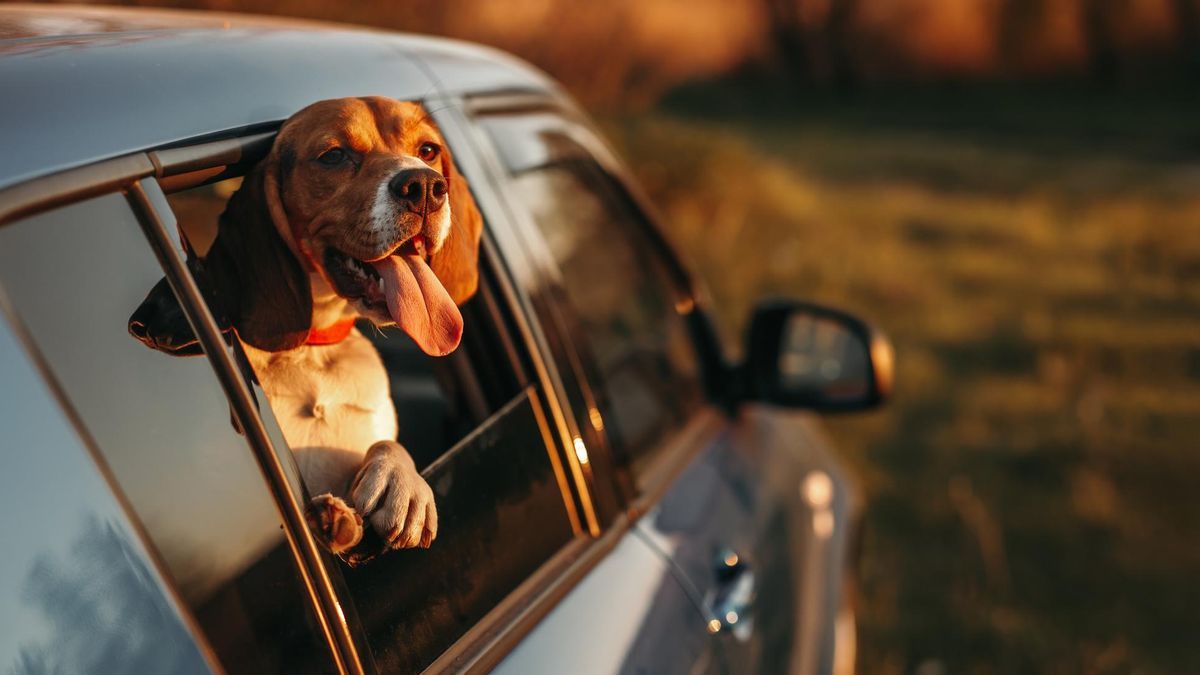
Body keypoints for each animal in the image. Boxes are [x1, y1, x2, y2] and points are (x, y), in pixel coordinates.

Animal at [130, 97, 482, 559]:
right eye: (333, 156)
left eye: (427, 150)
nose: (424, 186)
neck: (312, 351)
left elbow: (388, 443)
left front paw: (400, 484)